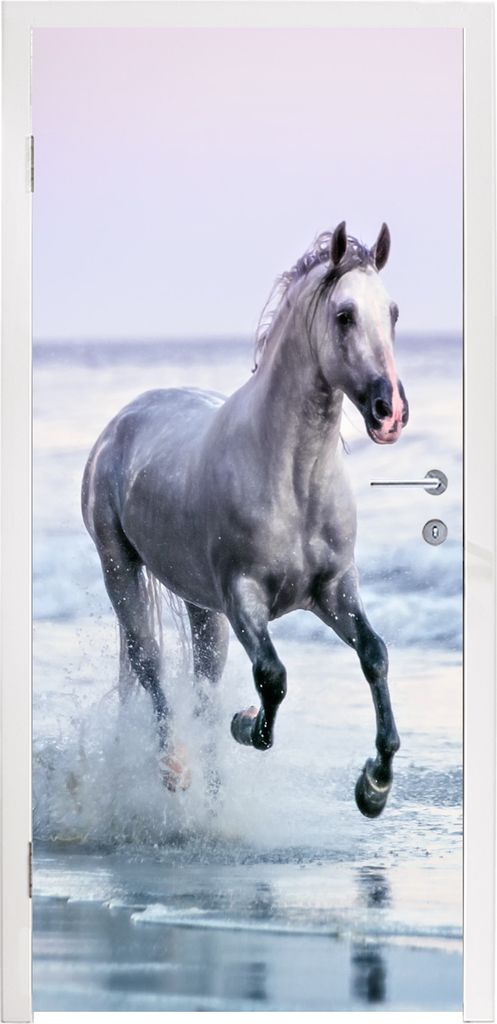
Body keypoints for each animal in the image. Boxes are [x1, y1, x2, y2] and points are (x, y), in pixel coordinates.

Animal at [81, 221, 409, 818]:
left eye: (392, 312)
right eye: (344, 315)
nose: (390, 412)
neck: (293, 479)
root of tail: (121, 423)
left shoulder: (334, 590)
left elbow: (375, 654)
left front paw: (374, 787)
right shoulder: (243, 598)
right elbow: (272, 678)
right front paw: (247, 724)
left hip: (199, 605)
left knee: (202, 687)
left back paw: (214, 804)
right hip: (121, 571)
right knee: (149, 665)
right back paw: (174, 767)